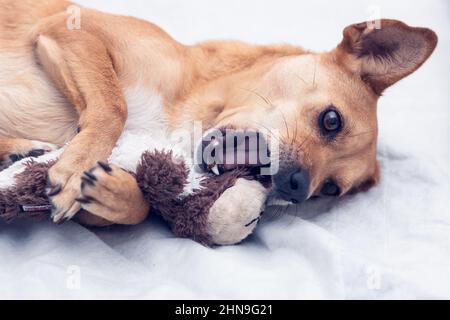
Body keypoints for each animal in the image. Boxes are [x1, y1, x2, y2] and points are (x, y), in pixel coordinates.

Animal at [0, 1, 436, 229]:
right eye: (332, 120)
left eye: (329, 190)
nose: (296, 188)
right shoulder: (71, 28)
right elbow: (113, 107)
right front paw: (76, 168)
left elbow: (138, 207)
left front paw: (118, 192)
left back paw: (17, 152)